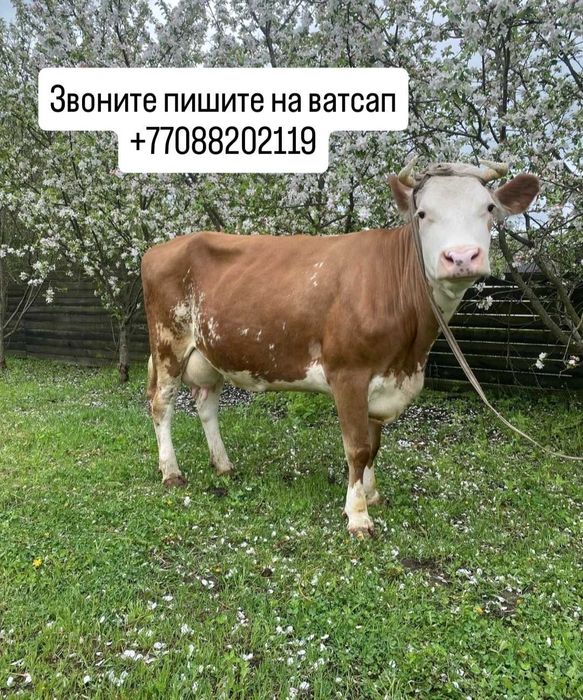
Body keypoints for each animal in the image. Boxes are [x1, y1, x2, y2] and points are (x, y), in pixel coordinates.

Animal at [141, 160, 539, 537]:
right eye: (423, 214)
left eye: (489, 208)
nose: (461, 257)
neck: (410, 354)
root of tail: (160, 248)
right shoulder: (349, 373)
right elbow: (357, 448)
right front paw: (358, 516)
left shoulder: (384, 379)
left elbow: (374, 444)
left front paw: (372, 495)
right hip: (168, 343)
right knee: (161, 404)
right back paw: (171, 472)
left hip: (210, 353)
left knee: (206, 405)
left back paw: (223, 465)